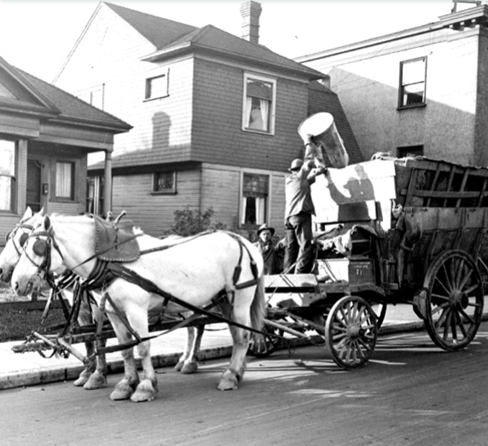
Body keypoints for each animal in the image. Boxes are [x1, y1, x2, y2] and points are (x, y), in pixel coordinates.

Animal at [0, 209, 107, 390]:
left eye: (23, 239)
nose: (1, 269)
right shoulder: (80, 304)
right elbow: (88, 338)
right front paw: (87, 372)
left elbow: (100, 337)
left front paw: (98, 375)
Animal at [11, 214, 264, 402]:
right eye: (24, 243)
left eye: (36, 246)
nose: (14, 282)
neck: (112, 261)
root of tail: (246, 243)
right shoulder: (113, 313)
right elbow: (124, 349)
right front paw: (126, 384)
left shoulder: (136, 310)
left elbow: (142, 347)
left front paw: (145, 386)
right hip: (223, 300)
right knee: (231, 333)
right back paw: (234, 371)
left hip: (240, 298)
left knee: (241, 336)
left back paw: (229, 376)